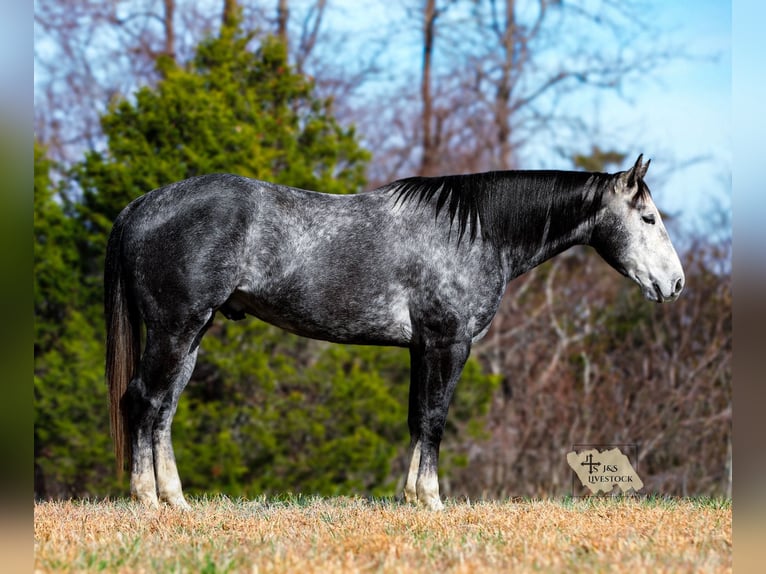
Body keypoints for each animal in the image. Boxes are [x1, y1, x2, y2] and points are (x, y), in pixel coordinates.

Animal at [105, 154, 684, 511]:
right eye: (649, 218)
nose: (675, 283)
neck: (475, 230)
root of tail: (143, 205)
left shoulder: (421, 347)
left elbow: (416, 418)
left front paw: (410, 496)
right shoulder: (448, 343)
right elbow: (434, 418)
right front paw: (432, 498)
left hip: (192, 335)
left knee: (164, 409)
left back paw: (177, 499)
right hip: (174, 329)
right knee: (142, 400)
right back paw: (146, 498)